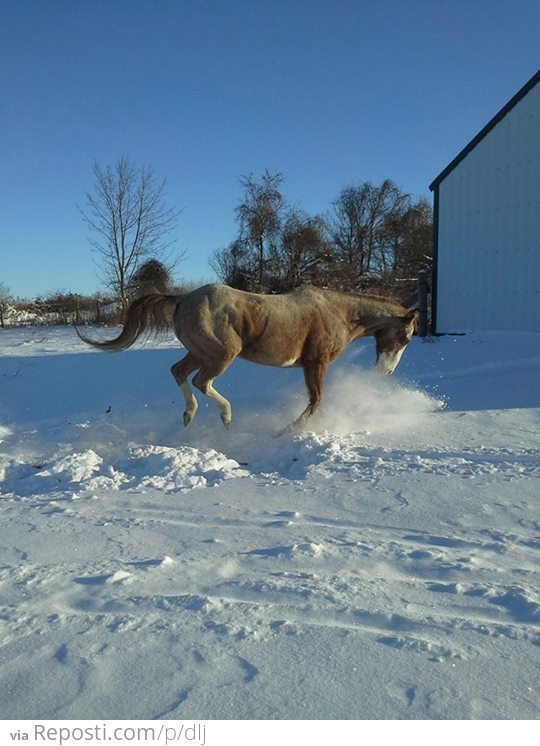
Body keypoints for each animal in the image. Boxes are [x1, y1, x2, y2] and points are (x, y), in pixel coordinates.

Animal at [76, 280, 420, 430]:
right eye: (406, 336)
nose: (386, 372)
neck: (339, 313)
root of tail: (183, 298)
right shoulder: (316, 363)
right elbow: (316, 401)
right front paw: (288, 430)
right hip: (221, 354)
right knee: (201, 381)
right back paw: (226, 417)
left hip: (200, 352)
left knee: (178, 372)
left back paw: (189, 415)